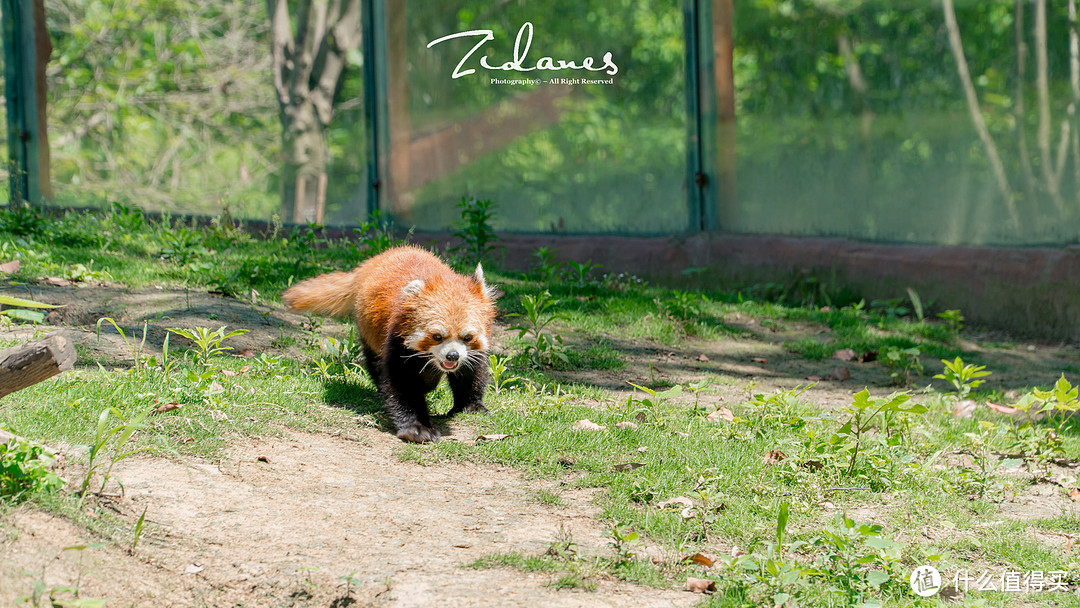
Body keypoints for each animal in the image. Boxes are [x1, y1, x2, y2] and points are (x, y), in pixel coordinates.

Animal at [278, 246, 496, 442]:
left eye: (467, 337)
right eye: (437, 336)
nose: (452, 355)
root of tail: (375, 260)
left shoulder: (472, 352)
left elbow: (470, 373)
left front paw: (471, 406)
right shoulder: (397, 339)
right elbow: (401, 384)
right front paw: (416, 428)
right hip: (370, 332)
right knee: (375, 363)